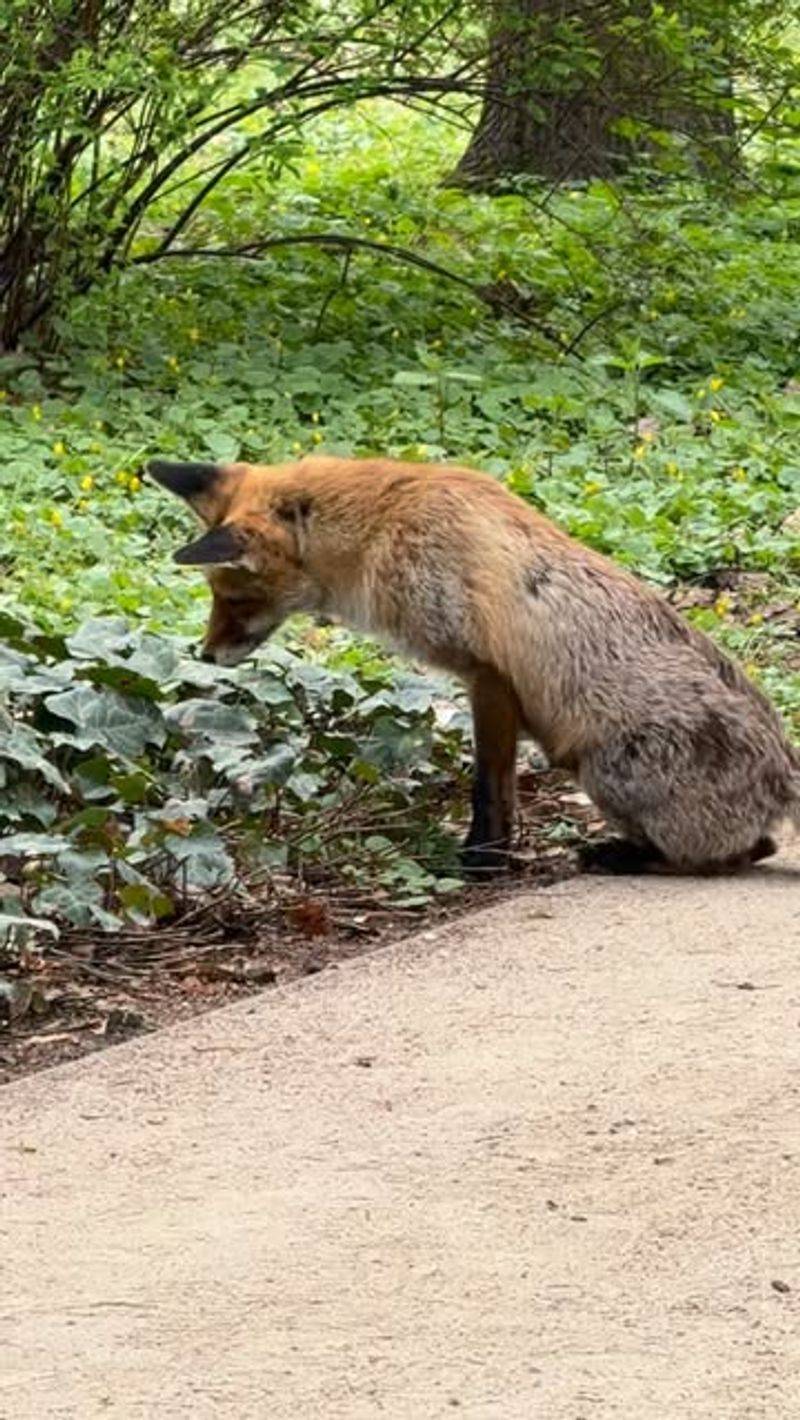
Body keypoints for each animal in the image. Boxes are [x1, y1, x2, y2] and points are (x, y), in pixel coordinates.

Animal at [148, 455, 799, 876]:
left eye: (235, 598)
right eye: (216, 596)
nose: (205, 654)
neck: (386, 524)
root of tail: (782, 769)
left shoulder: (485, 676)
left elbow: (487, 787)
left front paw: (482, 863)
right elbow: (499, 788)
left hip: (607, 771)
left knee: (737, 852)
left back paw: (626, 856)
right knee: (760, 846)